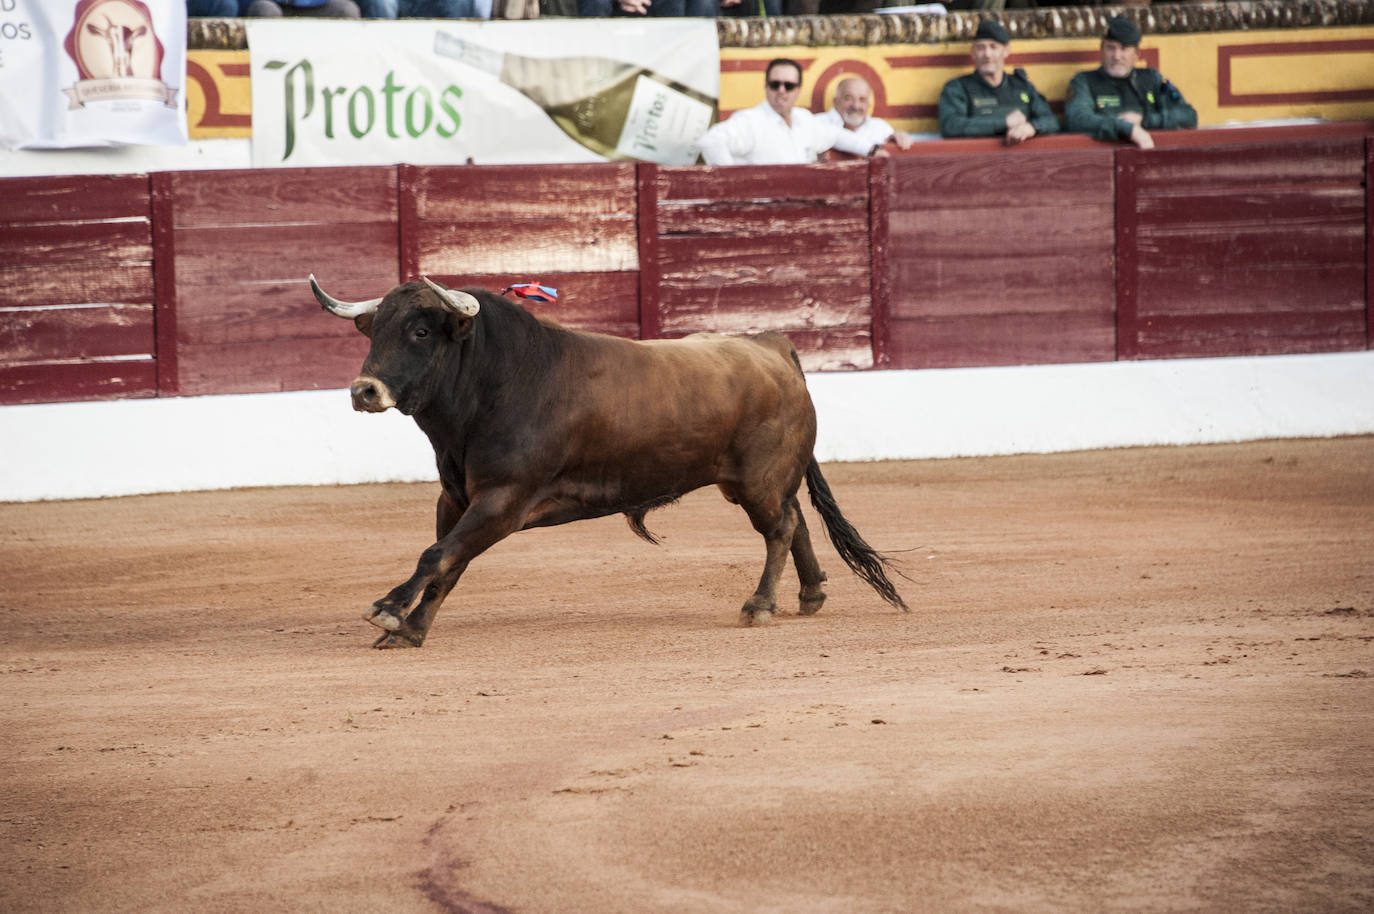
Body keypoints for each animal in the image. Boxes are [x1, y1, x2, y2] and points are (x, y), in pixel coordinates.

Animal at [314, 274, 906, 645]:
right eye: (376, 331)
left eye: (419, 331)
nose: (364, 390)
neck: (496, 383)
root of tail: (770, 345)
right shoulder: (455, 499)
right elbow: (446, 562)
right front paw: (412, 630)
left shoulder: (503, 502)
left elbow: (437, 555)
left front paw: (389, 611)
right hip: (759, 481)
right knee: (797, 518)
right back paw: (810, 594)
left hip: (758, 480)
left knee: (780, 527)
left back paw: (759, 605)